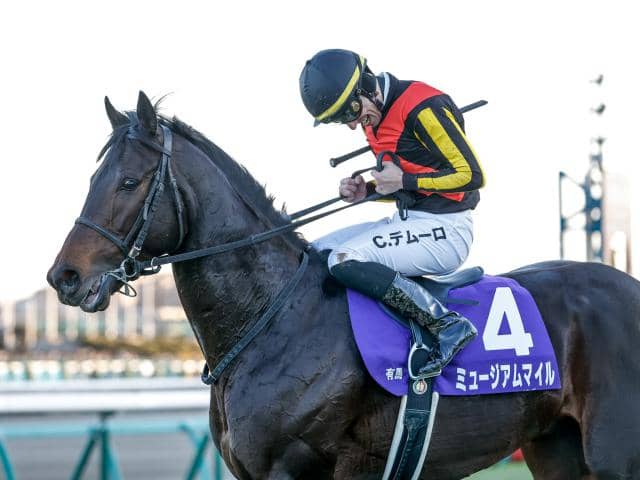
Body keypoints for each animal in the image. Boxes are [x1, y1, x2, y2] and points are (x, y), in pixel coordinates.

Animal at [47, 91, 640, 479]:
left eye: (129, 181)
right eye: (94, 177)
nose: (64, 277)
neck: (272, 319)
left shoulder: (293, 468)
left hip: (613, 453)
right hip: (557, 448)